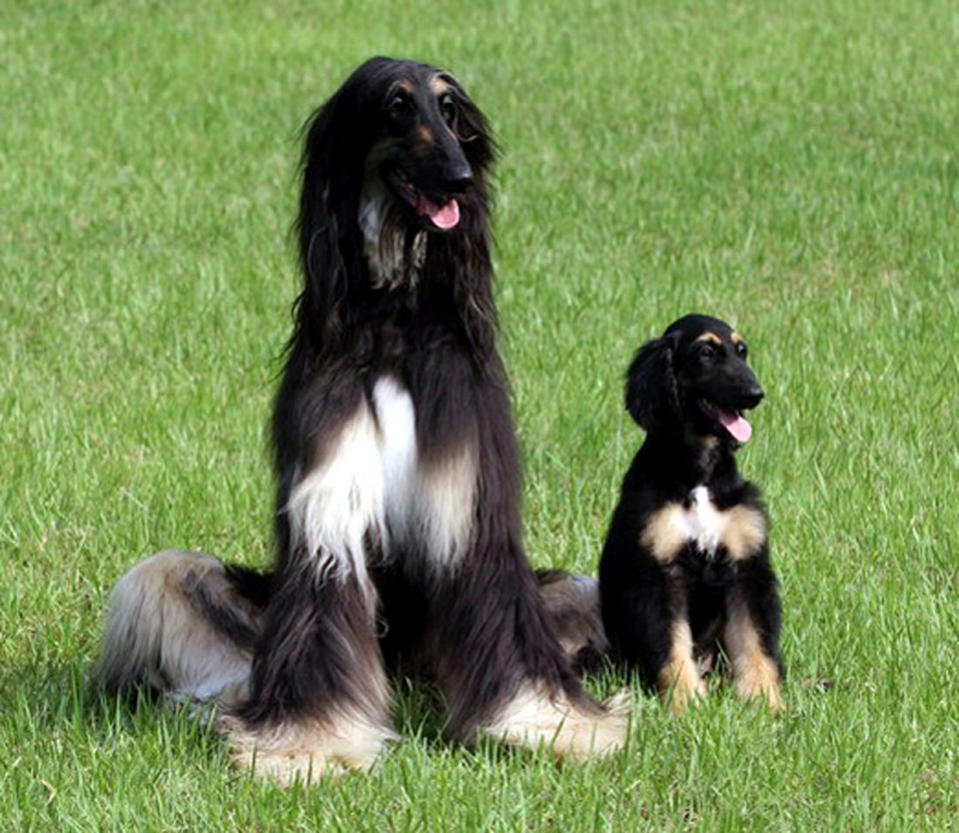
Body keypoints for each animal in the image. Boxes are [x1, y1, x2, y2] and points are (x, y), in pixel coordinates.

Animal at [94, 57, 628, 780]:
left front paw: (549, 724)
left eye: (451, 109)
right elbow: (321, 616)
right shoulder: (329, 504)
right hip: (180, 584)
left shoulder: (470, 501)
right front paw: (308, 743)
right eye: (396, 107)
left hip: (573, 588)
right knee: (178, 589)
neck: (395, 318)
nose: (459, 176)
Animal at [604, 316, 784, 712]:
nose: (755, 393)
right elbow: (671, 645)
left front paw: (765, 700)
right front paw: (685, 703)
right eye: (705, 352)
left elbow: (755, 642)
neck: (699, 476)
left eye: (742, 350)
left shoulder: (745, 566)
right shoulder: (658, 574)